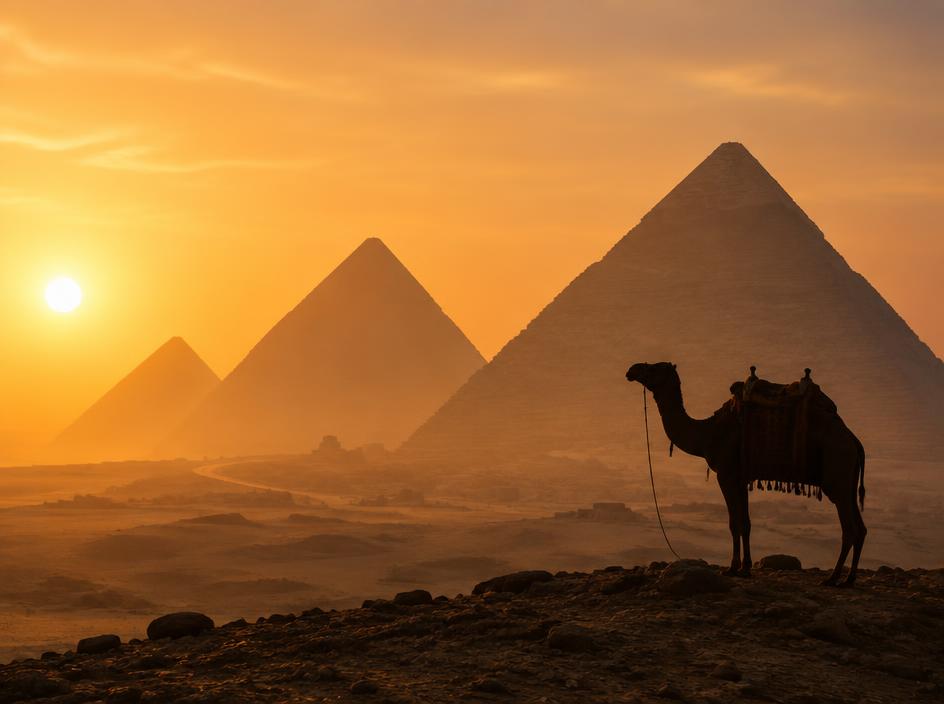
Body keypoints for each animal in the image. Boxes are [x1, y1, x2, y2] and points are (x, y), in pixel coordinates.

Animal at [625, 362, 866, 586]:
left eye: (654, 367)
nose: (632, 369)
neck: (707, 434)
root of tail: (854, 441)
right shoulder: (740, 479)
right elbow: (745, 522)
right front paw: (745, 568)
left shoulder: (726, 475)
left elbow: (734, 523)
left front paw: (732, 568)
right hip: (848, 480)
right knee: (860, 527)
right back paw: (849, 579)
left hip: (837, 474)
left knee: (849, 528)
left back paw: (833, 578)